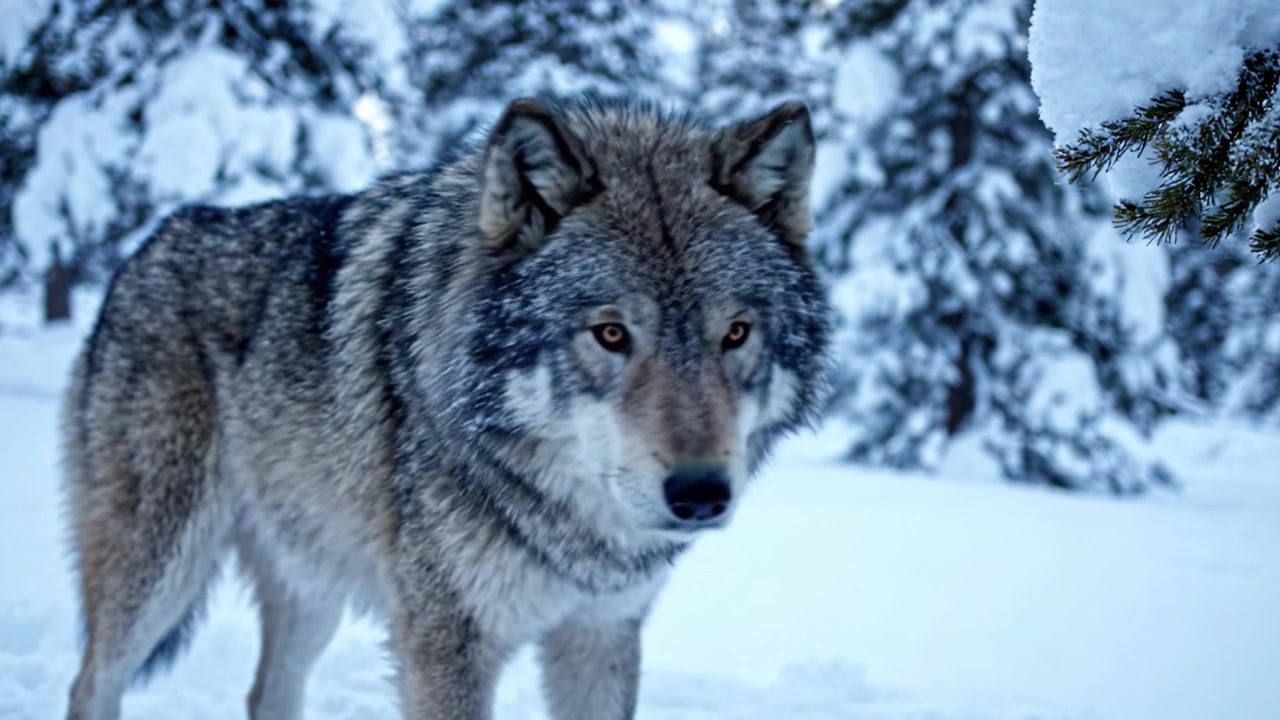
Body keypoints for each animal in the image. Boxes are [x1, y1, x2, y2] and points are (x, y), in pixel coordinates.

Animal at [60, 95, 832, 720]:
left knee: (267, 696)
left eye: (735, 333)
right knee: (90, 682)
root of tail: (149, 243)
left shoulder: (599, 632)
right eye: (611, 333)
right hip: (160, 570)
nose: (701, 494)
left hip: (313, 582)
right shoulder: (443, 640)